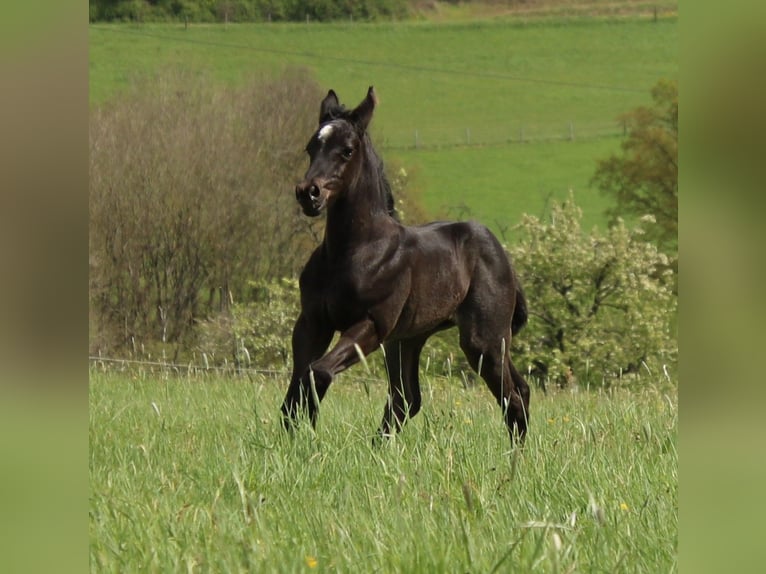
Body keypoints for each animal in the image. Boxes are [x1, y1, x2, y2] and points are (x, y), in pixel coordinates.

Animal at [282, 86, 536, 446]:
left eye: (347, 150)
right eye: (310, 147)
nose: (309, 193)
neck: (353, 250)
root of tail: (504, 258)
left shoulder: (372, 324)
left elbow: (318, 371)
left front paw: (308, 434)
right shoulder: (313, 322)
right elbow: (297, 385)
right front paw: (293, 439)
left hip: (483, 340)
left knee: (511, 395)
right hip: (408, 340)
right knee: (409, 399)